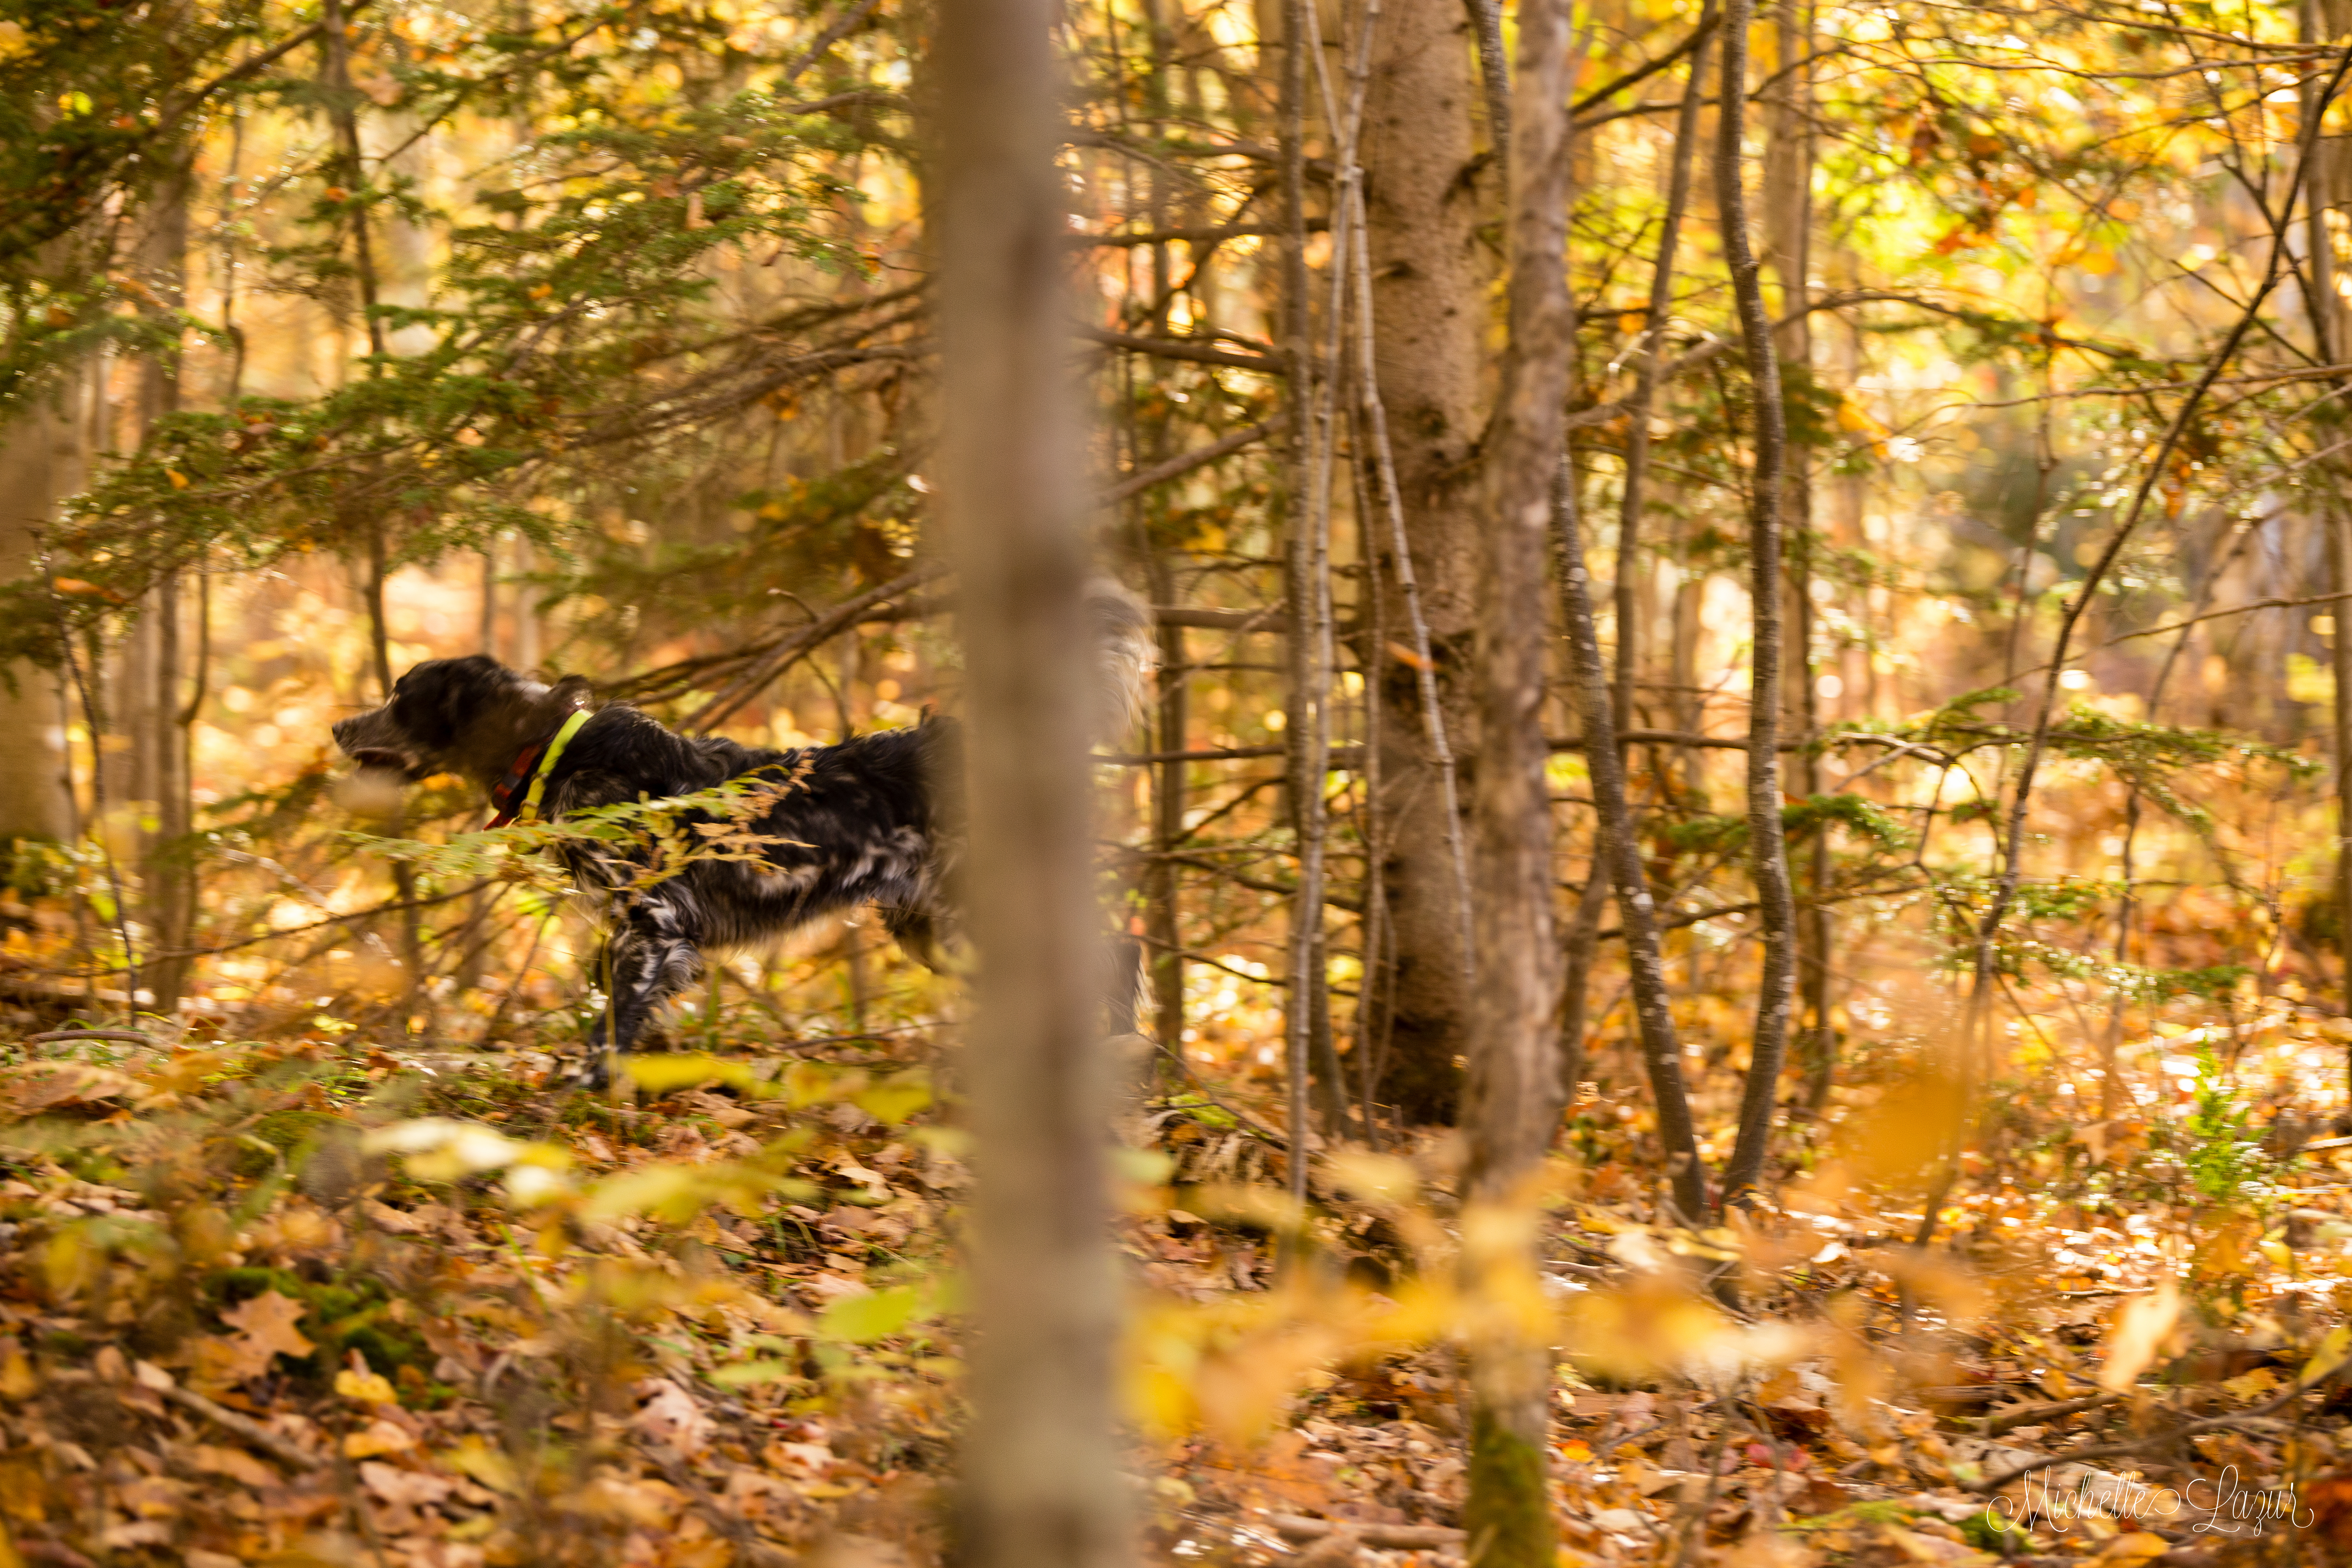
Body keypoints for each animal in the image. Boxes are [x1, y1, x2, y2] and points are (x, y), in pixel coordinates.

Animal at [334, 583, 1157, 1072]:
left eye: (401, 695)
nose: (341, 726)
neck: (553, 750)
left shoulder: (655, 923)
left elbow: (612, 1023)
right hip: (937, 927)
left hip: (972, 909)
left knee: (1117, 951)